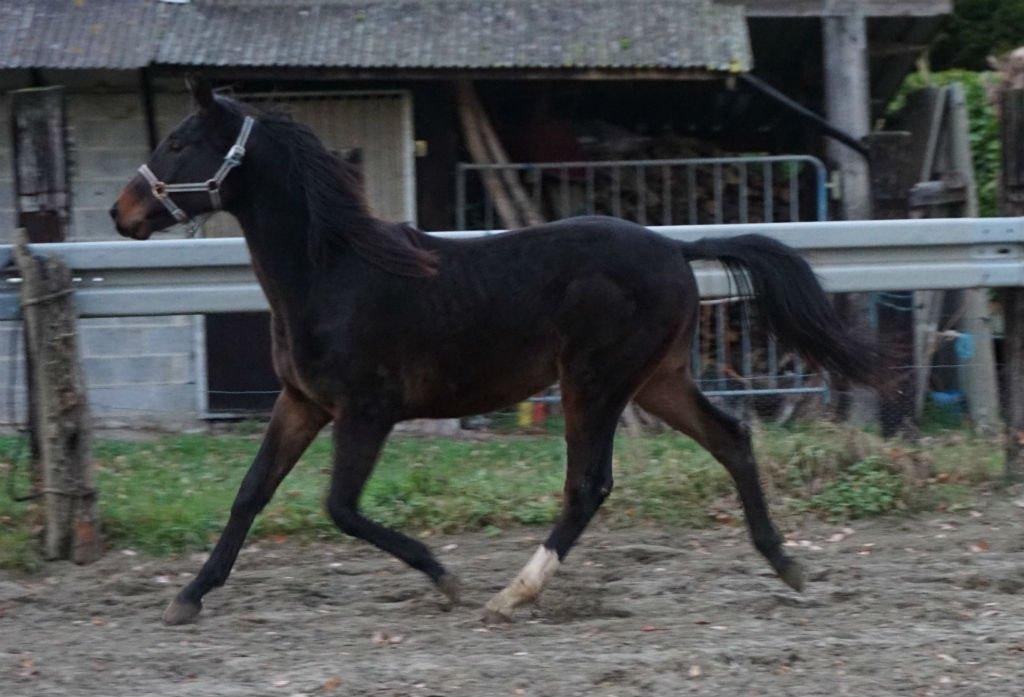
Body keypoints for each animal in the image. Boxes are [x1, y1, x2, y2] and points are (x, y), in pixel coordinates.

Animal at [110, 77, 878, 626]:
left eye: (178, 142)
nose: (122, 213)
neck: (334, 270)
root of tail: (674, 247)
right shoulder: (301, 402)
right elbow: (251, 493)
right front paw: (188, 596)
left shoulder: (367, 410)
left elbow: (341, 508)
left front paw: (445, 577)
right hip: (657, 379)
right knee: (731, 438)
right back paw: (785, 564)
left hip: (595, 382)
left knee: (589, 484)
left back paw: (512, 594)